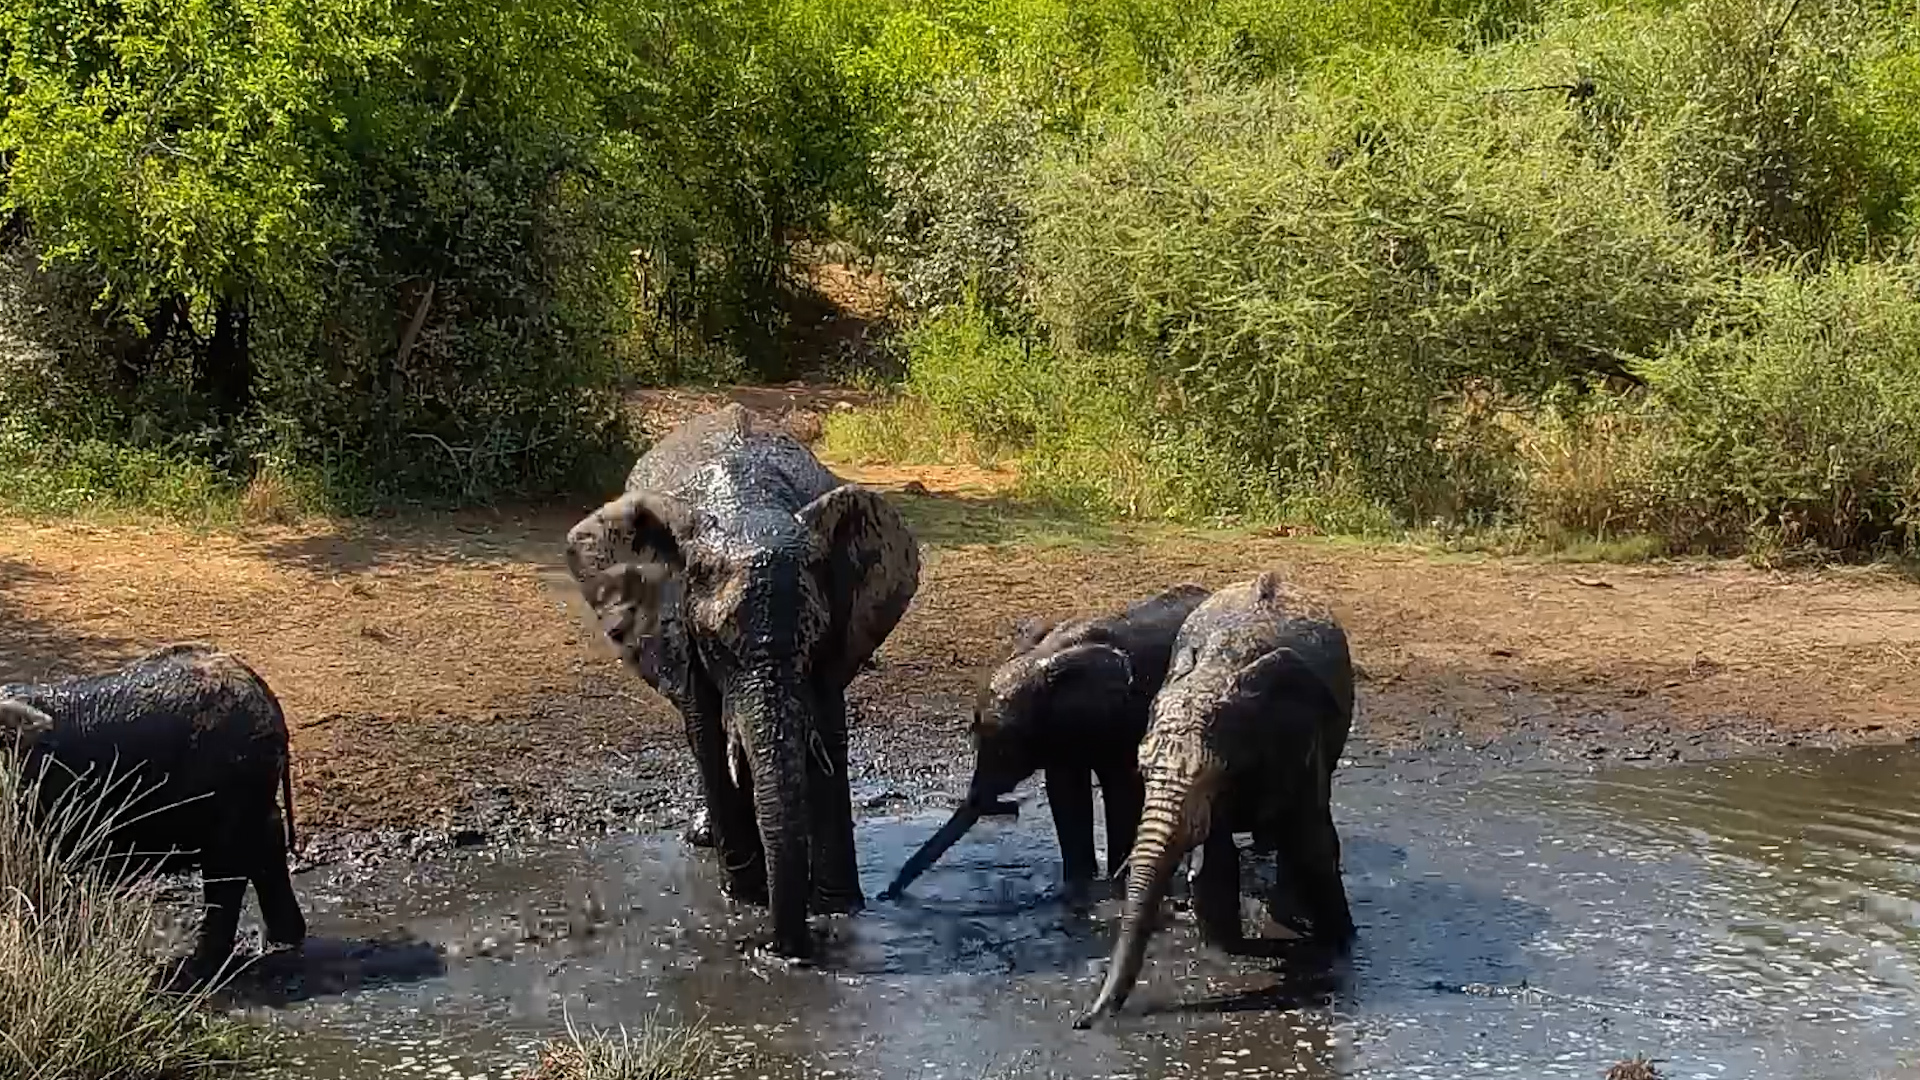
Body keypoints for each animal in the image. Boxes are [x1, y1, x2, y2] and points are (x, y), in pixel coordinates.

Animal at [0, 643, 306, 976]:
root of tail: (263, 693)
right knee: (264, 844)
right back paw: (283, 941)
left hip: (231, 781)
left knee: (227, 868)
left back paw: (198, 968)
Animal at [565, 404, 921, 959]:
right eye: (715, 645)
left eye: (813, 639)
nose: (787, 949)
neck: (747, 508)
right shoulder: (677, 632)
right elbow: (710, 740)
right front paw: (745, 902)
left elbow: (827, 737)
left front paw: (840, 910)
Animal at [880, 583, 1212, 901]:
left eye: (1006, 749)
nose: (885, 894)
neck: (1043, 658)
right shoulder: (1058, 732)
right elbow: (1065, 792)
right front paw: (1077, 889)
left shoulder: (1123, 717)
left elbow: (1121, 789)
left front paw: (1113, 888)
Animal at [1074, 572, 1356, 1028]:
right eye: (1143, 772)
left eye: (1211, 776)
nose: (1083, 1021)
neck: (1222, 669)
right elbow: (1215, 865)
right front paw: (1224, 953)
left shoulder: (1300, 735)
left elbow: (1313, 844)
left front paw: (1342, 948)